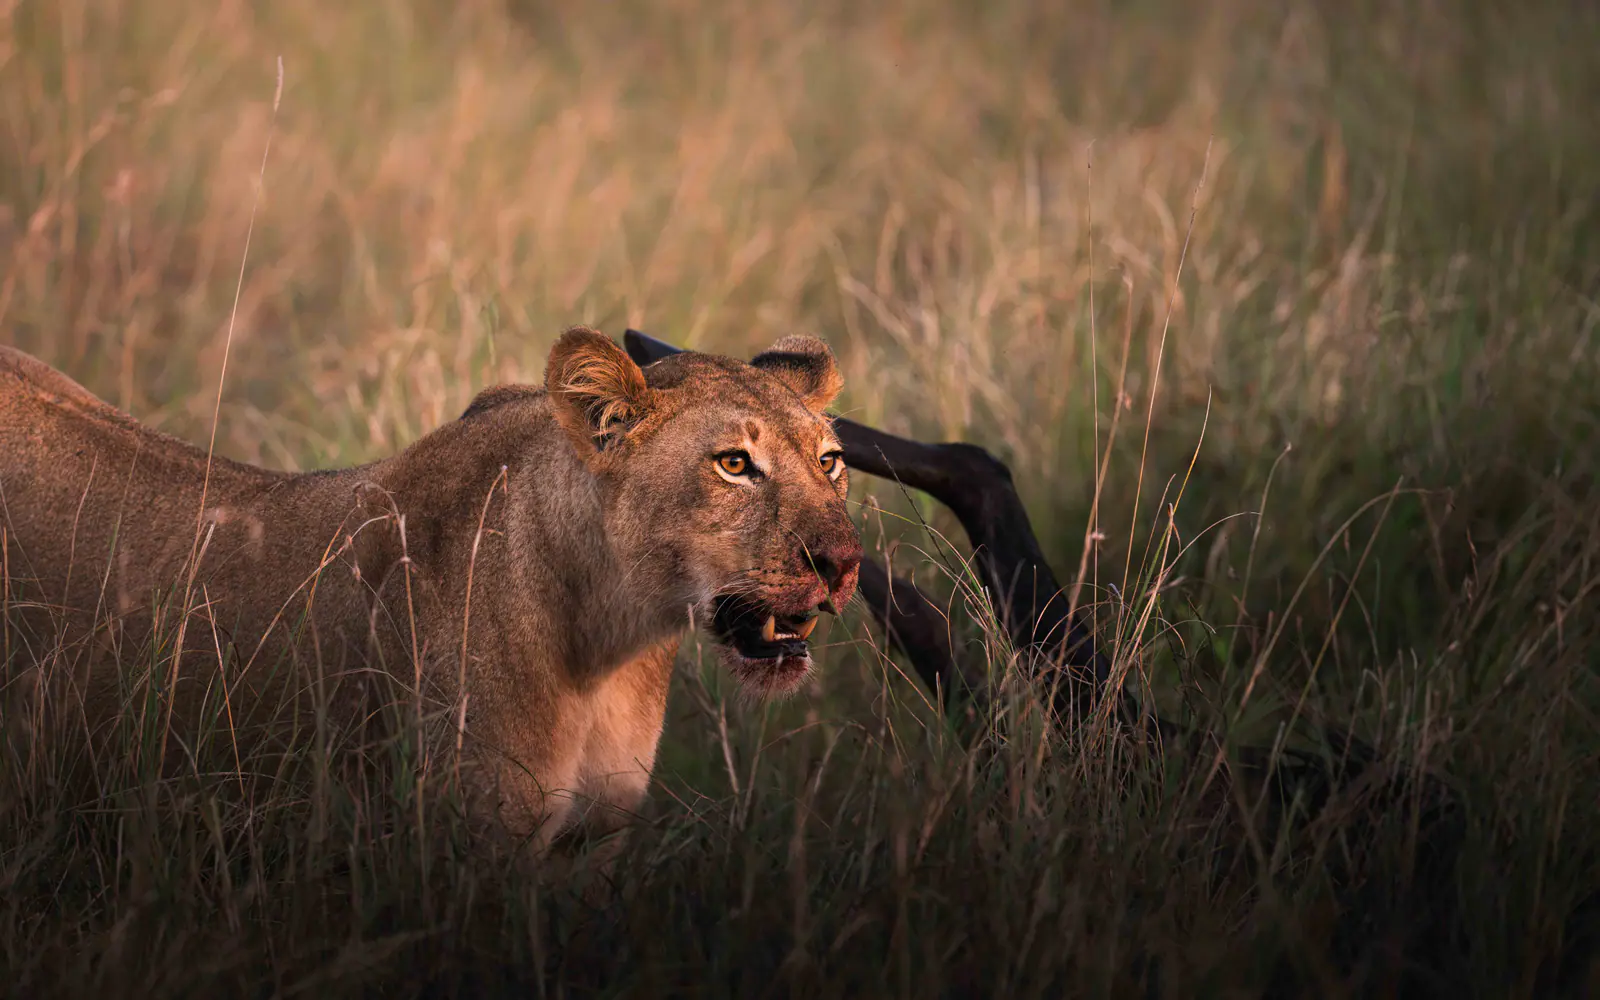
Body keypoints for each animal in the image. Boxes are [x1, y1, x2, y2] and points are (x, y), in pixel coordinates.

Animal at [0, 328, 862, 847]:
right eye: (734, 464)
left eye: (829, 462)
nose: (845, 561)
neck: (610, 643)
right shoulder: (472, 846)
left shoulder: (591, 845)